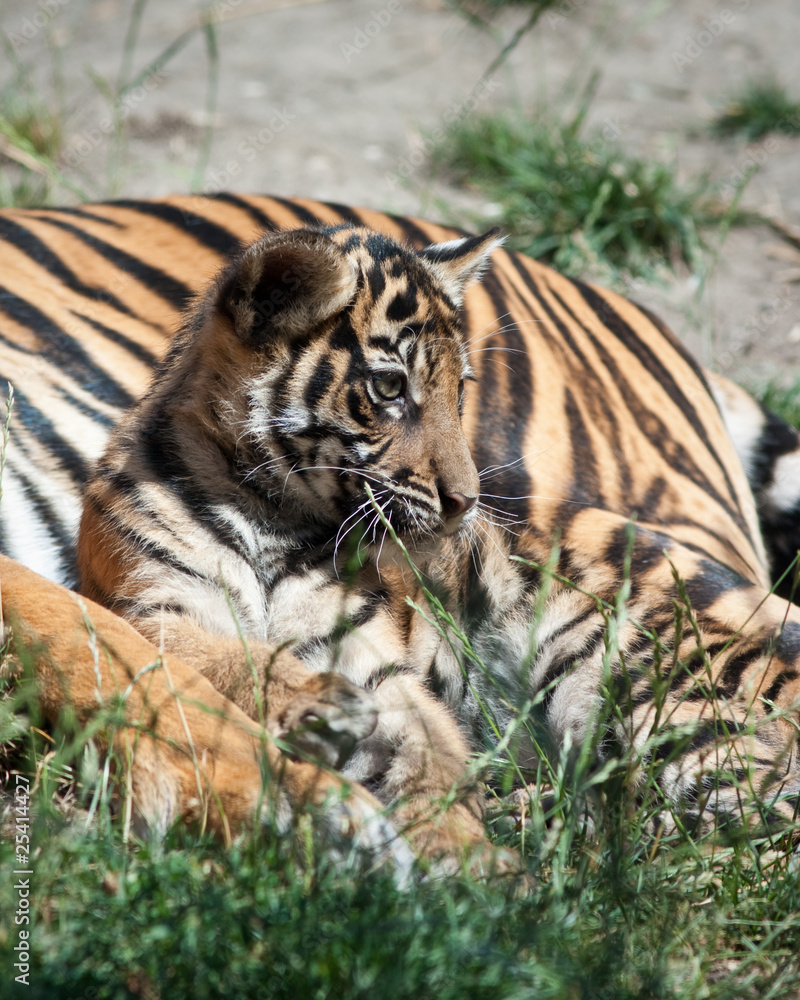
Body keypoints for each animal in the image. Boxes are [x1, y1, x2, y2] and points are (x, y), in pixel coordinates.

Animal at [3, 194, 800, 871]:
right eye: (390, 388)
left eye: (458, 389)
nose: (467, 502)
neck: (270, 511)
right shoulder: (149, 607)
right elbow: (225, 658)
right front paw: (320, 715)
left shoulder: (376, 659)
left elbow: (429, 753)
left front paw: (466, 862)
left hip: (636, 686)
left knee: (744, 825)